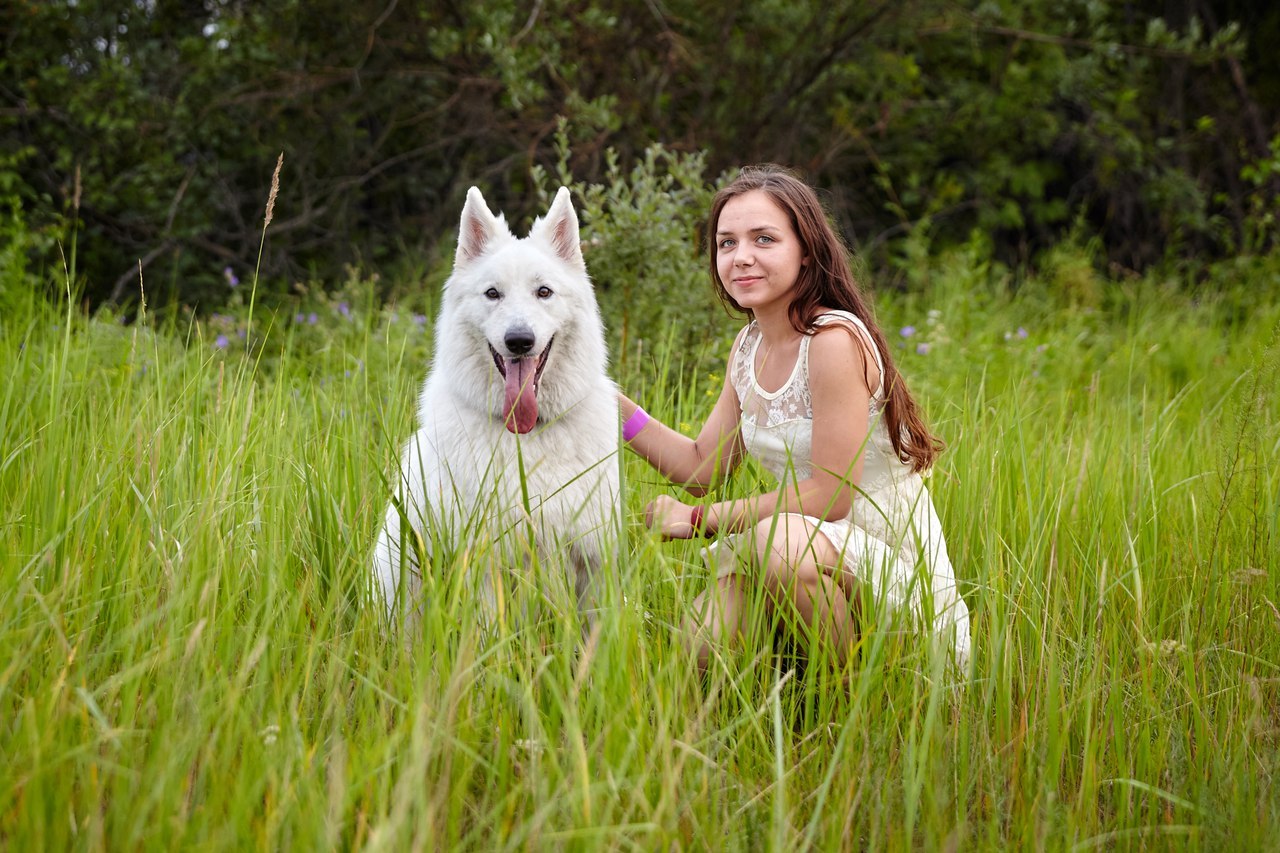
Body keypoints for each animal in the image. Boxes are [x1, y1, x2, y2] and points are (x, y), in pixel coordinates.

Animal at [371, 185, 619, 622]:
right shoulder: (487, 565)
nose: (519, 340)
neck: (529, 438)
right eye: (492, 294)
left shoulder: (593, 558)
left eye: (543, 292)